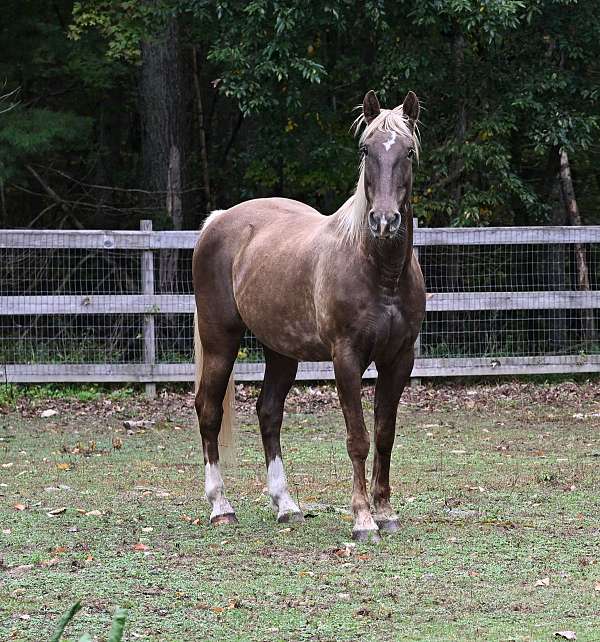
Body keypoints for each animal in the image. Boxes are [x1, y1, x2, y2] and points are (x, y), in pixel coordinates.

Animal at [192, 90, 425, 542]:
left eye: (408, 151)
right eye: (365, 149)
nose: (384, 220)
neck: (380, 272)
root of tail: (219, 220)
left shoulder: (399, 358)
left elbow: (385, 435)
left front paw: (386, 512)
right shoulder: (346, 358)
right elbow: (358, 438)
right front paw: (363, 519)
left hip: (281, 351)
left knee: (269, 413)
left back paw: (286, 505)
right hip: (220, 341)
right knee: (208, 410)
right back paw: (220, 507)